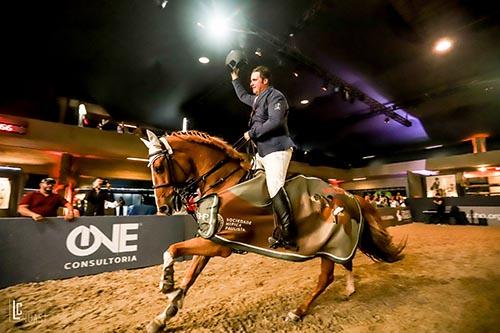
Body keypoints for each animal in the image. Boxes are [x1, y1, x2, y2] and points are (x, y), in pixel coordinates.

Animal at [141, 130, 406, 332]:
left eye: (159, 167)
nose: (163, 208)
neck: (224, 183)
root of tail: (350, 195)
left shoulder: (219, 244)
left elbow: (172, 249)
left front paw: (166, 283)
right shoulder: (212, 238)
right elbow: (189, 277)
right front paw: (163, 317)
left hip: (330, 242)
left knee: (325, 278)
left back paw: (298, 312)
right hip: (335, 244)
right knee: (346, 261)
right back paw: (349, 289)